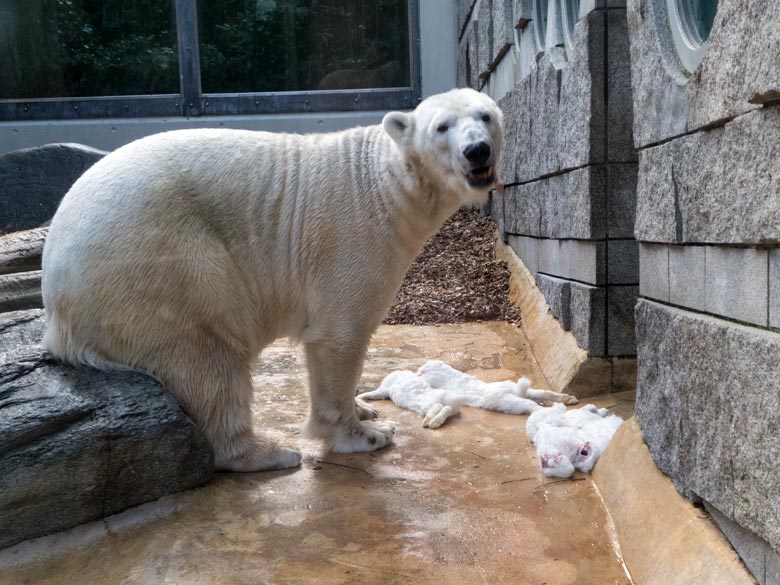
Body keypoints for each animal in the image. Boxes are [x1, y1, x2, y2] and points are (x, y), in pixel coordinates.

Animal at [41, 88, 506, 470]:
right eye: (442, 126)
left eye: (485, 115)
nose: (477, 151)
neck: (384, 184)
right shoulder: (352, 239)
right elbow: (340, 337)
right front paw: (368, 434)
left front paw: (365, 408)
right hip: (159, 267)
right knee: (209, 355)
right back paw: (269, 452)